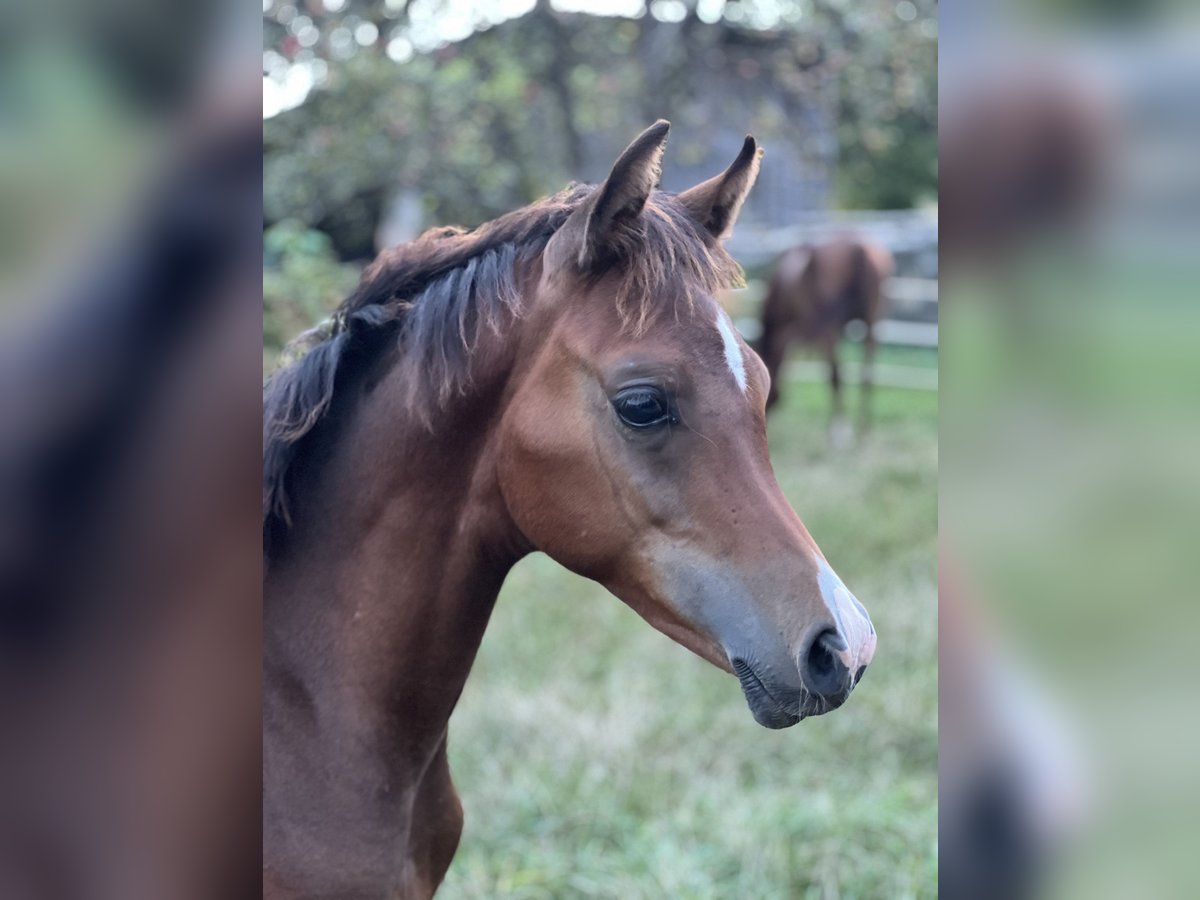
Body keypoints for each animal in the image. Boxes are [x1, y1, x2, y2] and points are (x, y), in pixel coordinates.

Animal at [758, 236, 892, 441]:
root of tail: (858, 248)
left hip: (828, 328)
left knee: (835, 374)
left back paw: (839, 431)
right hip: (871, 321)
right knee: (867, 372)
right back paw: (863, 429)